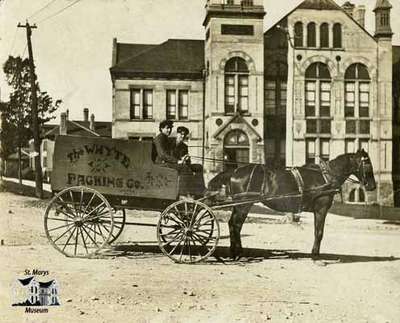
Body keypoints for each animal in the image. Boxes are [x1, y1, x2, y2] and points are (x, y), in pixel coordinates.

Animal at [208, 150, 376, 260]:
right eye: (367, 164)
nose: (372, 186)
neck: (326, 176)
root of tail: (234, 171)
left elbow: (317, 231)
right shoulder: (321, 209)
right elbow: (319, 232)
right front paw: (315, 255)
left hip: (240, 205)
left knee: (233, 224)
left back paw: (235, 252)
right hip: (243, 205)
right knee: (236, 225)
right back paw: (238, 253)